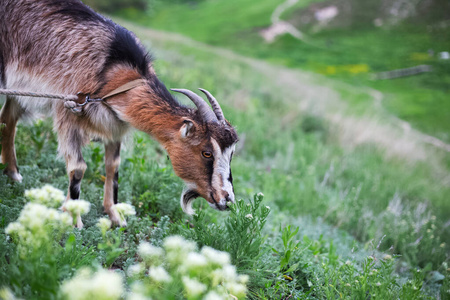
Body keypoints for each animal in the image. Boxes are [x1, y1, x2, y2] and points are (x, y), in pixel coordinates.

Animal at [0, 0, 239, 226]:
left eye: (231, 154)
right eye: (206, 153)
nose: (227, 200)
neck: (115, 77)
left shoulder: (114, 125)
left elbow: (113, 166)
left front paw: (115, 215)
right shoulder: (67, 114)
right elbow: (78, 168)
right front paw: (73, 220)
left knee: (8, 118)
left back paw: (13, 173)